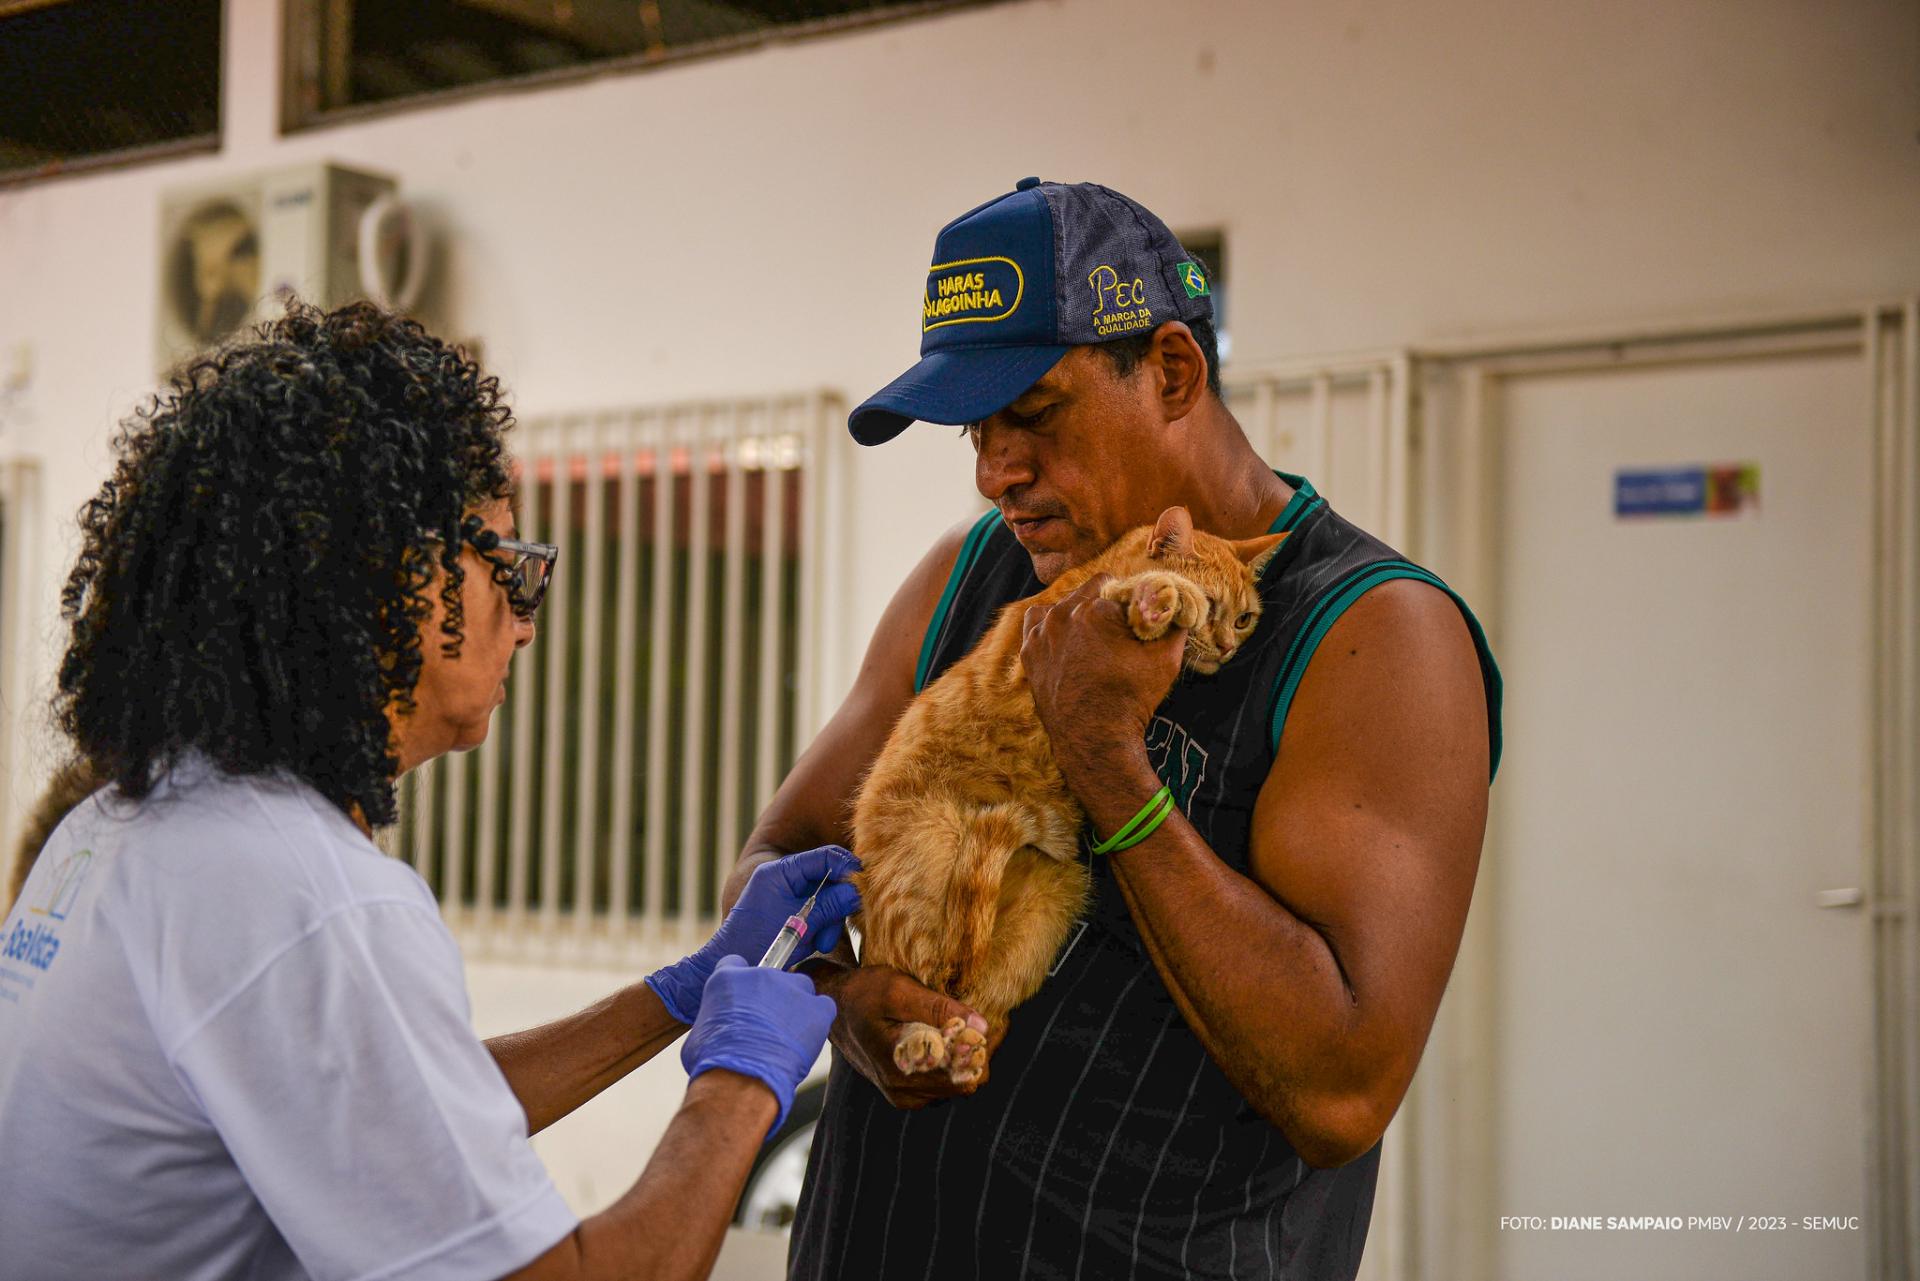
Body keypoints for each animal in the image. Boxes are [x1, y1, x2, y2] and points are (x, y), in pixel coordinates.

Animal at [848, 507, 1282, 1083]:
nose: (1230, 647)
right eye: (1215, 607)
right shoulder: (1023, 659)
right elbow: (1126, 589)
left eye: (1244, 619)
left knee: (970, 999)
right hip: (933, 846)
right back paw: (921, 1040)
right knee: (921, 974)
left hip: (1056, 891)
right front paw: (1160, 595)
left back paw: (964, 1050)